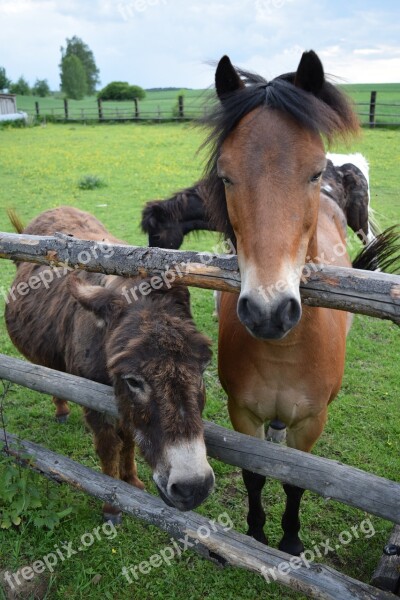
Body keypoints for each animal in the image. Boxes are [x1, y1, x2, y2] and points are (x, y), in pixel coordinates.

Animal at [4, 205, 214, 520]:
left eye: (201, 370)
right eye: (133, 381)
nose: (194, 487)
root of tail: (57, 208)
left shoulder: (125, 409)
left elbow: (128, 440)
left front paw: (132, 482)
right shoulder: (97, 405)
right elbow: (109, 447)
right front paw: (112, 504)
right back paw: (62, 409)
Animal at [202, 50, 396, 552]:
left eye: (311, 172)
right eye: (226, 177)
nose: (269, 312)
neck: (283, 353)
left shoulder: (311, 423)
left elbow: (295, 480)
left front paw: (290, 541)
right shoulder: (242, 413)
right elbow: (255, 475)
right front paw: (255, 533)